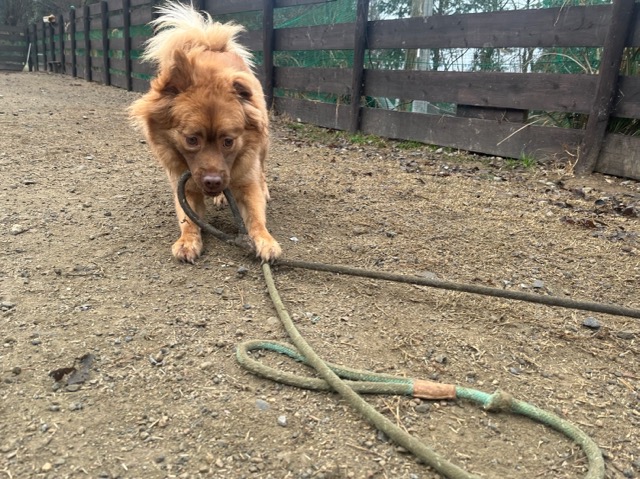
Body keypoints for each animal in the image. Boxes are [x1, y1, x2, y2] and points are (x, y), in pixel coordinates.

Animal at [129, 2, 281, 263]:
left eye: (228, 141)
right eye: (191, 140)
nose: (213, 182)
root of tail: (211, 45)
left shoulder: (246, 182)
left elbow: (256, 216)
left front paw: (265, 240)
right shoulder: (186, 187)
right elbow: (187, 219)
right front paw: (188, 241)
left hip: (262, 148)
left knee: (261, 170)